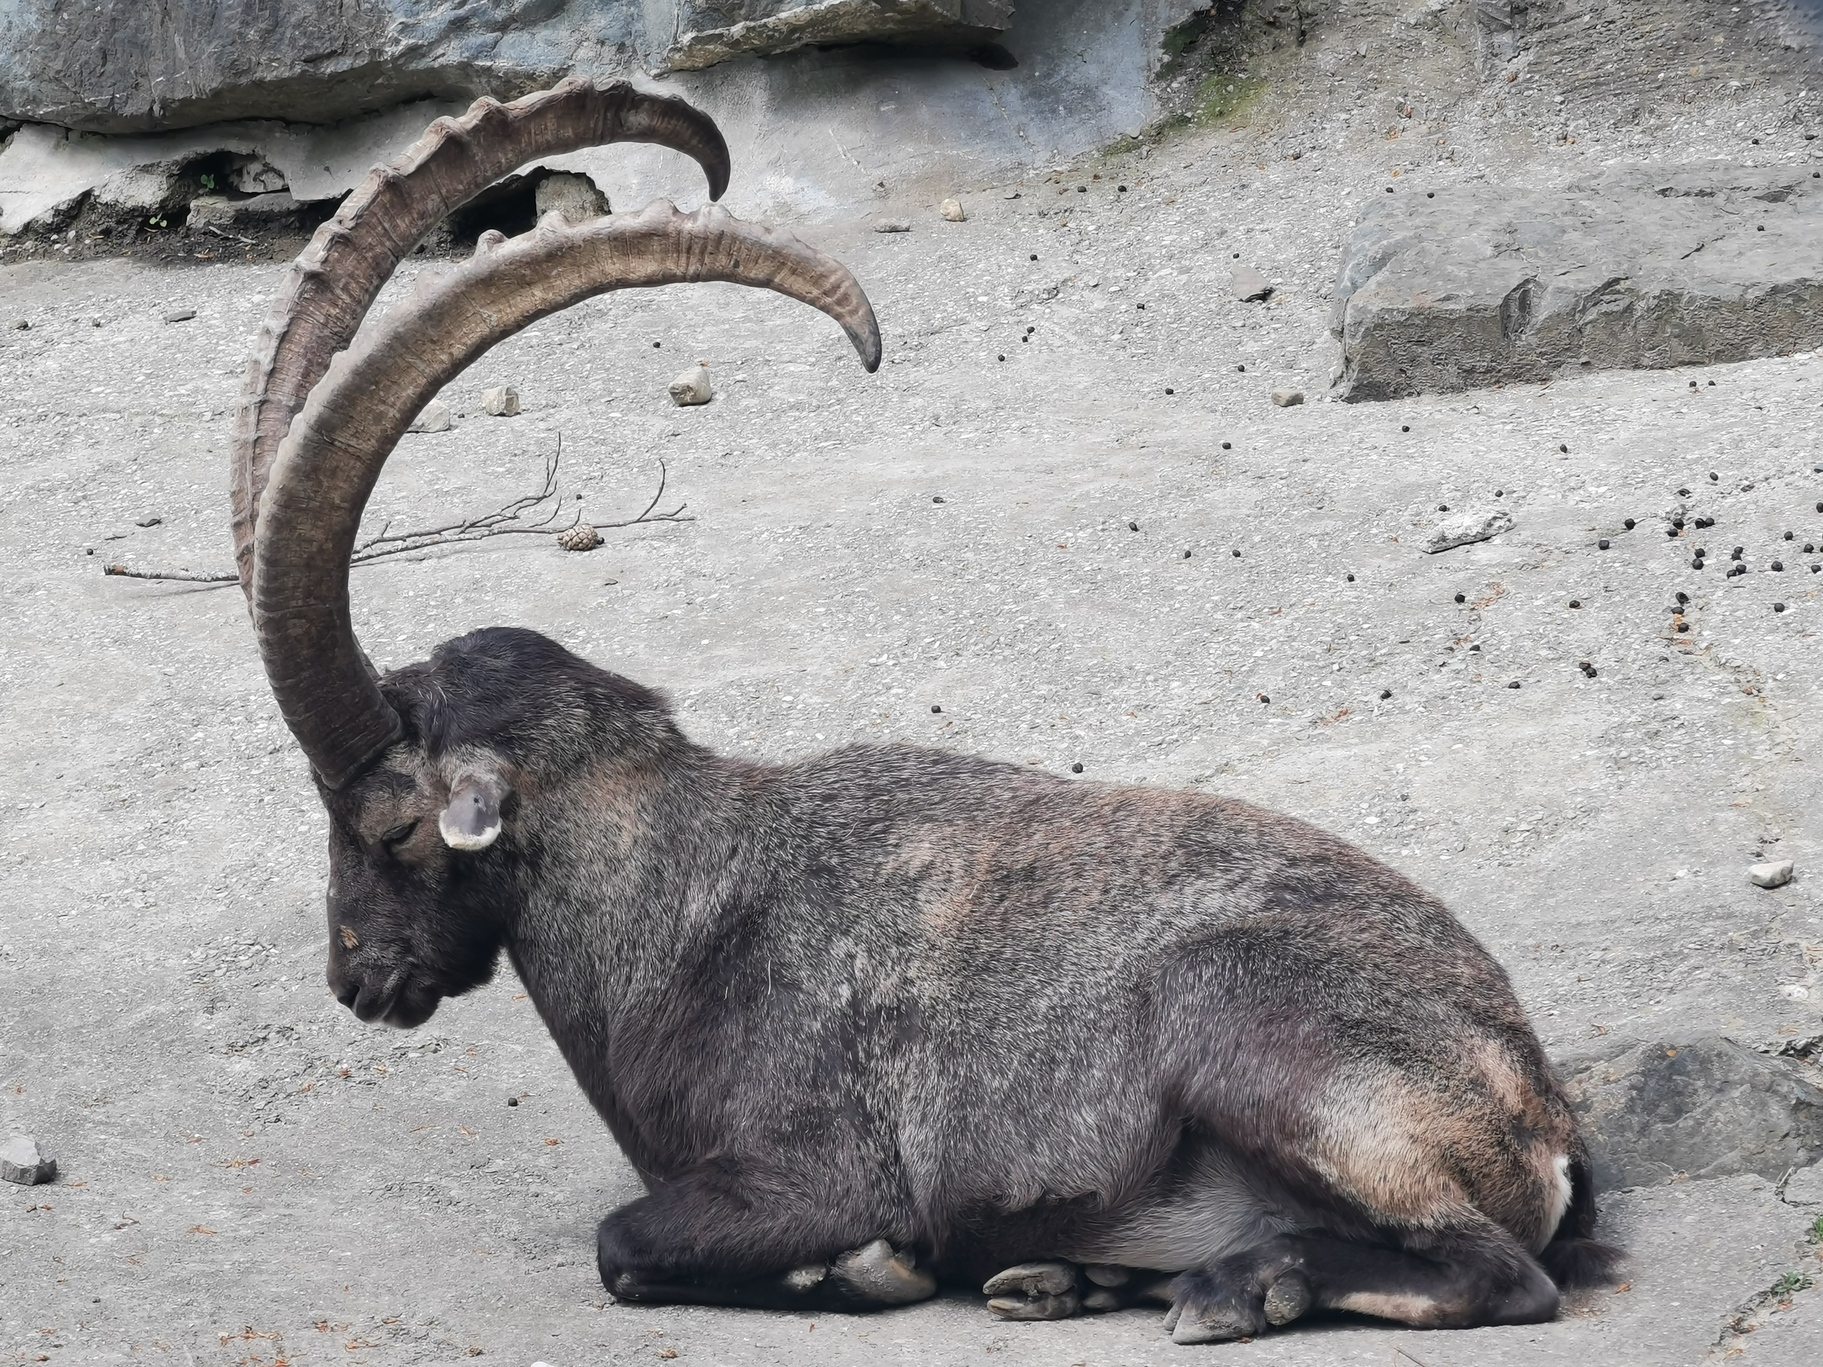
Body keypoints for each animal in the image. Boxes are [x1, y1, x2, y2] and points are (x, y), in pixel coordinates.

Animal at [232, 81, 1623, 1343]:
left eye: (392, 826)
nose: (357, 977)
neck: (667, 900)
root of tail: (1540, 1122)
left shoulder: (817, 1167)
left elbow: (626, 1242)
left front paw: (863, 1270)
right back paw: (1083, 1275)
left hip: (1253, 1030)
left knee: (1497, 1272)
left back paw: (1235, 1285)